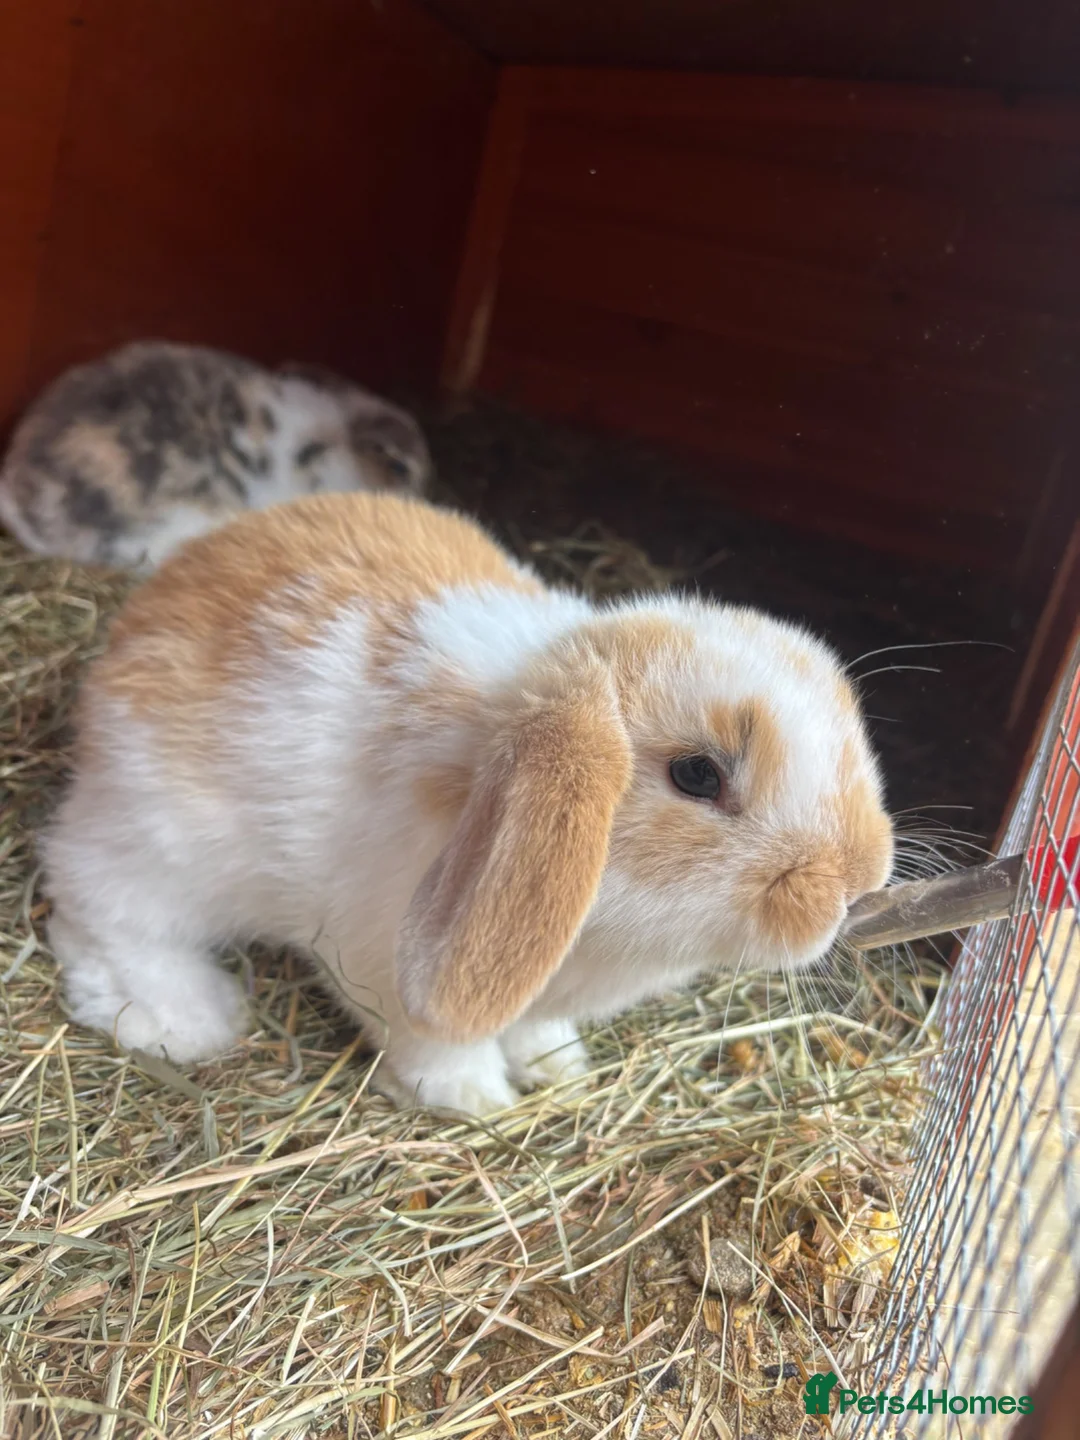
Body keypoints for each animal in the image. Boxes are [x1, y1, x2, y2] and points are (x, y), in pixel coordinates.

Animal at [41, 491, 894, 1116]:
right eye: (697, 776)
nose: (862, 879)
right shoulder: (382, 965)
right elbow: (434, 1047)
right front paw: (477, 1100)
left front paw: (558, 1066)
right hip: (156, 840)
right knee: (95, 912)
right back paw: (188, 1021)